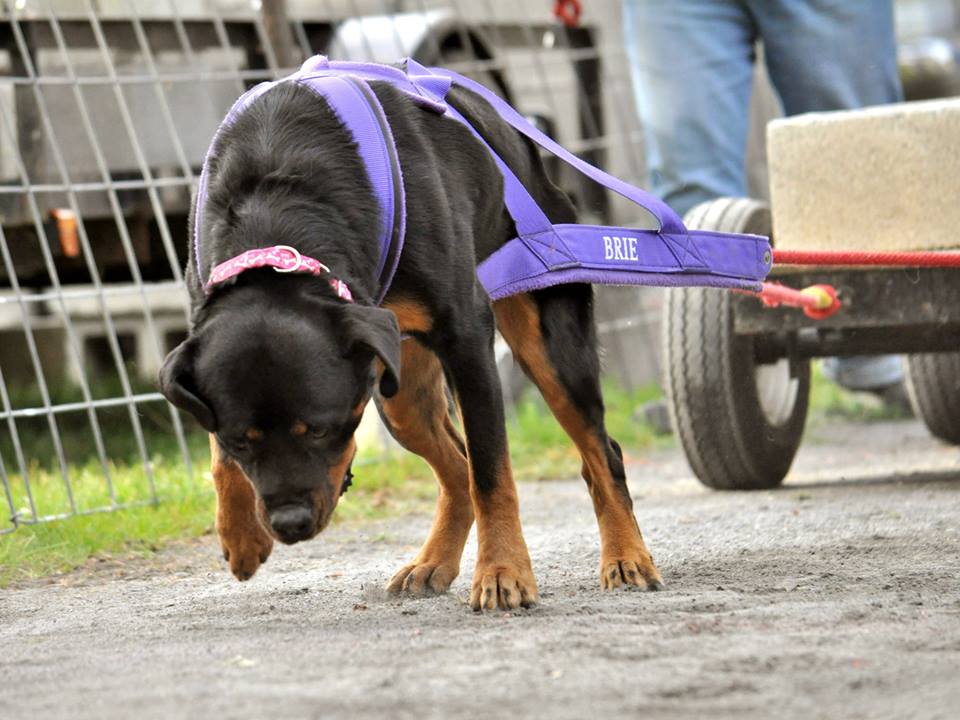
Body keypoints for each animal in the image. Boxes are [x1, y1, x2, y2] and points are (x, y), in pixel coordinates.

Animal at [161, 76, 664, 612]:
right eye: (240, 440)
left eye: (319, 430)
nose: (289, 524)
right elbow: (218, 455)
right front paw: (241, 533)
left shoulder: (467, 339)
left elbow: (492, 472)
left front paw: (503, 571)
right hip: (398, 390)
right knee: (457, 467)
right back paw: (432, 562)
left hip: (549, 339)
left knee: (600, 452)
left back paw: (626, 557)